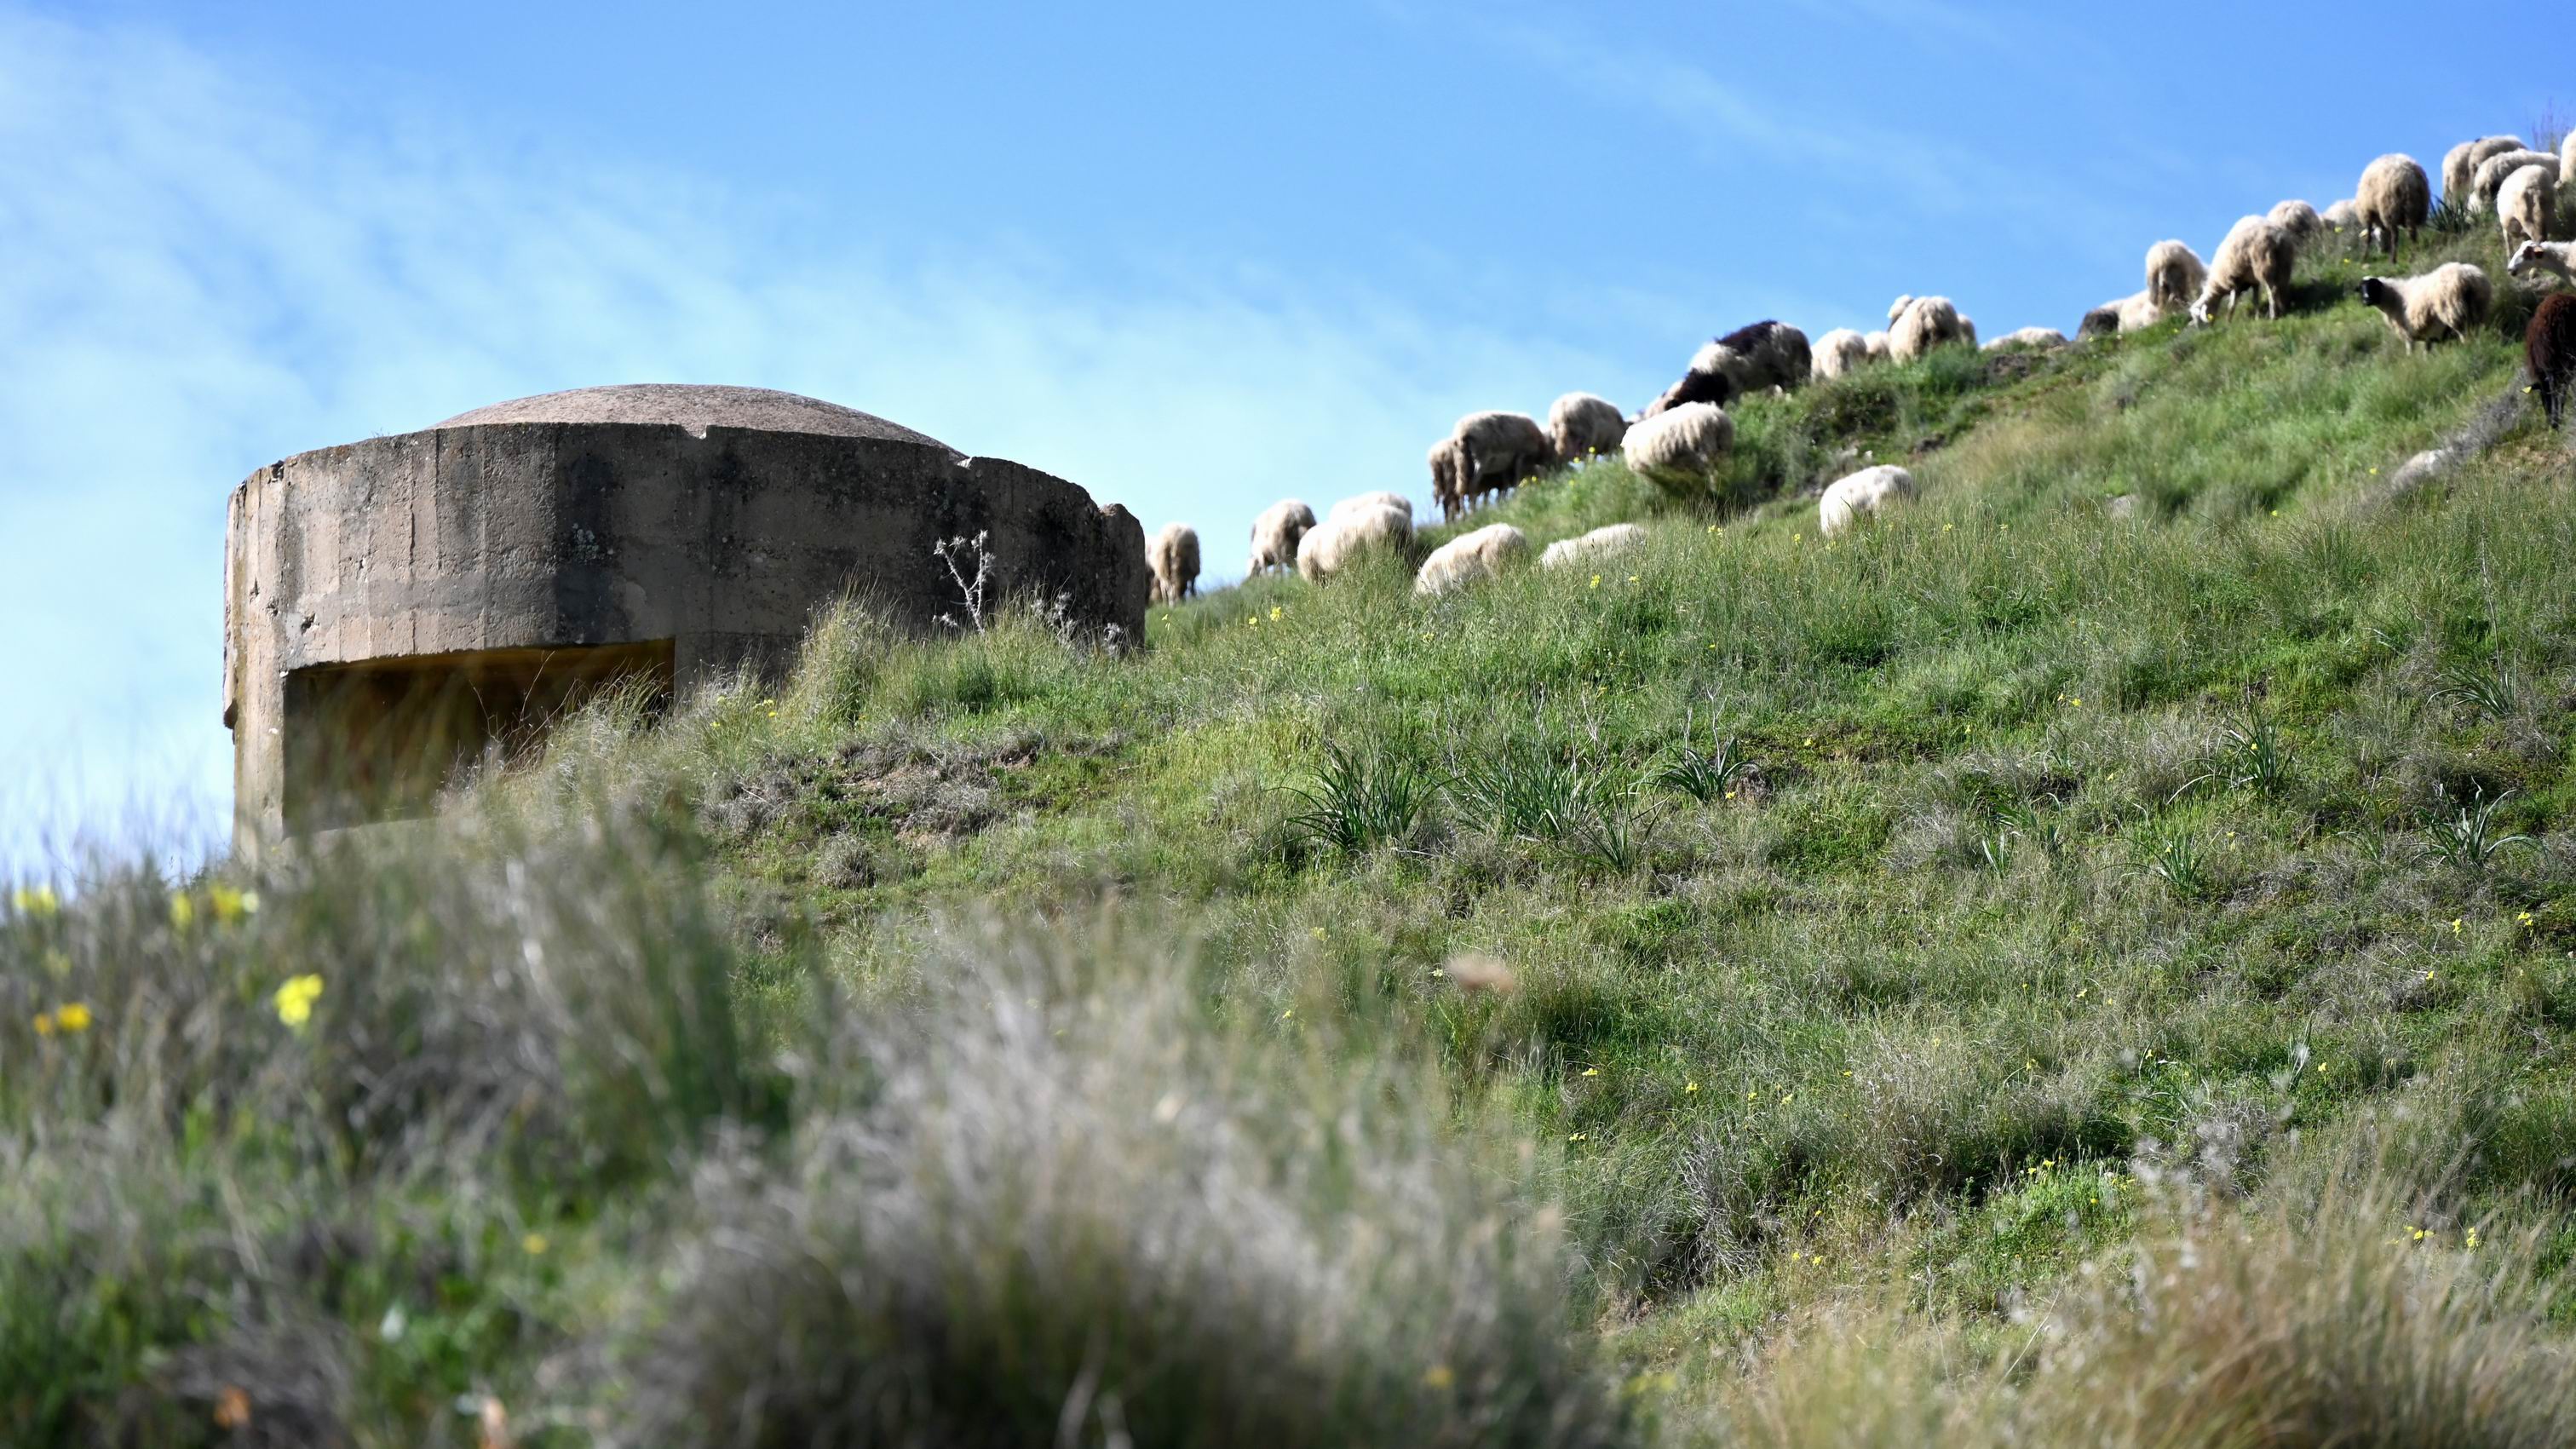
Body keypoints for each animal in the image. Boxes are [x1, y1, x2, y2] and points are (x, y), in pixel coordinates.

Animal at [1618, 400, 1741, 495]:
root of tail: (1715, 417)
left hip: (1706, 450)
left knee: (1713, 473)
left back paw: (1716, 489)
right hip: (1721, 448)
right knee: (1720, 471)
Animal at [2359, 260, 2493, 350]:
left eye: (2373, 286)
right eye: (2361, 288)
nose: (2366, 300)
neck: (2393, 297)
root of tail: (2467, 277)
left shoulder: (2408, 332)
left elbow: (2411, 351)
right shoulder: (2425, 331)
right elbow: (2427, 349)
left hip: (2453, 311)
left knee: (2463, 333)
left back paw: (2467, 346)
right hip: (2479, 307)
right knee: (2477, 328)